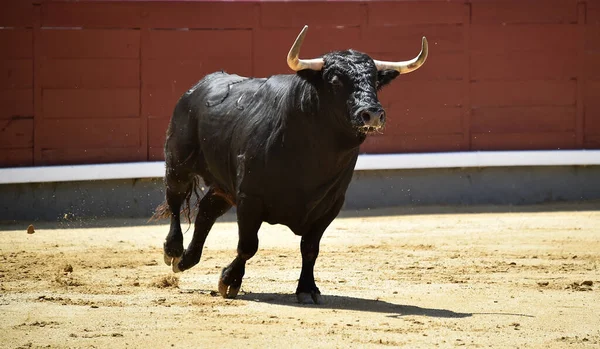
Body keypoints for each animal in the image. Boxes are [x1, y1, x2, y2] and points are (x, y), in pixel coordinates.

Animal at [155, 27, 426, 304]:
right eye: (335, 80)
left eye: (374, 81)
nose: (371, 114)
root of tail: (197, 87)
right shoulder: (250, 198)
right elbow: (248, 245)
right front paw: (229, 281)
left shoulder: (330, 205)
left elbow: (310, 248)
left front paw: (307, 288)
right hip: (178, 163)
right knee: (175, 200)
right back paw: (173, 250)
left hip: (224, 185)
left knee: (207, 211)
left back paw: (186, 259)